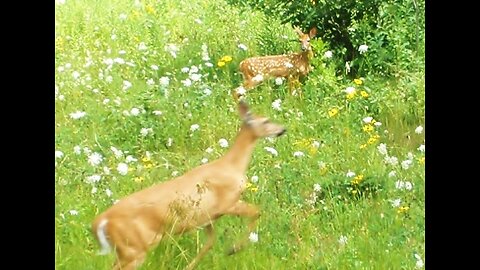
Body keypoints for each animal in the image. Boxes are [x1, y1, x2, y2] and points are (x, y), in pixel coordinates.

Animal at [91, 101, 284, 270]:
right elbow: (257, 212)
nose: (282, 129)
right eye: (266, 121)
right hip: (134, 248)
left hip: (126, 249)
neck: (232, 166)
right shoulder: (227, 203)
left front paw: (191, 266)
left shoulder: (207, 217)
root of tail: (101, 221)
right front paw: (233, 249)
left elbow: (209, 242)